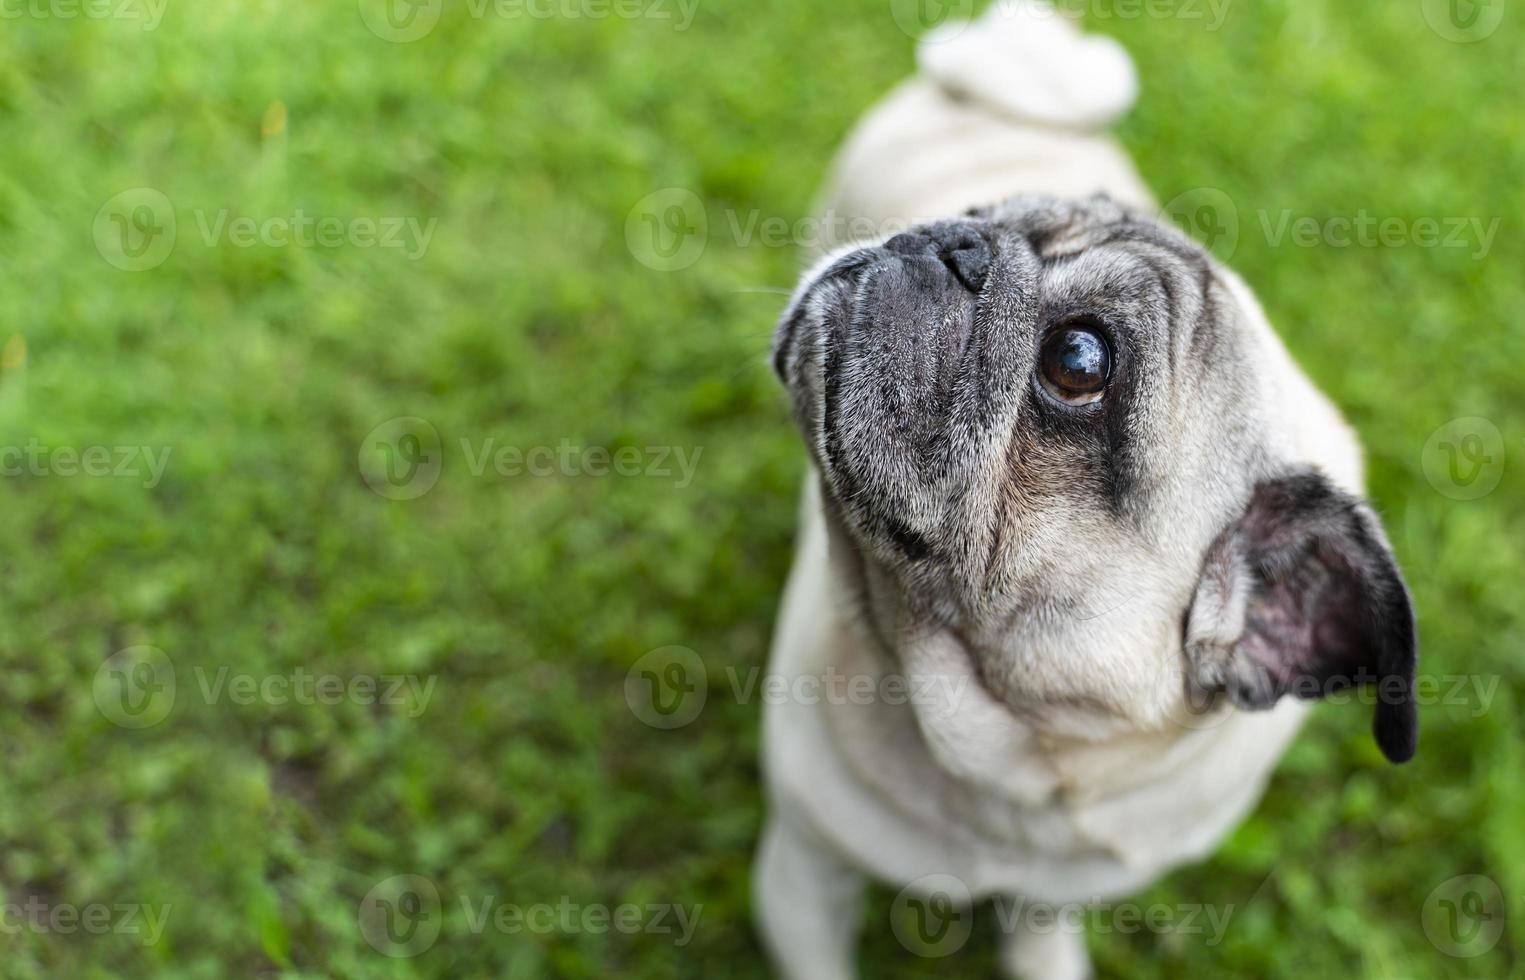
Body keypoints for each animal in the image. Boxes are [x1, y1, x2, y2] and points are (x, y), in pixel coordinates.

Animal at [750, 3, 1415, 975]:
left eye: (1078, 360)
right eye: (982, 213)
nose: (951, 238)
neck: (1017, 766)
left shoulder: (1051, 895)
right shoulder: (802, 875)